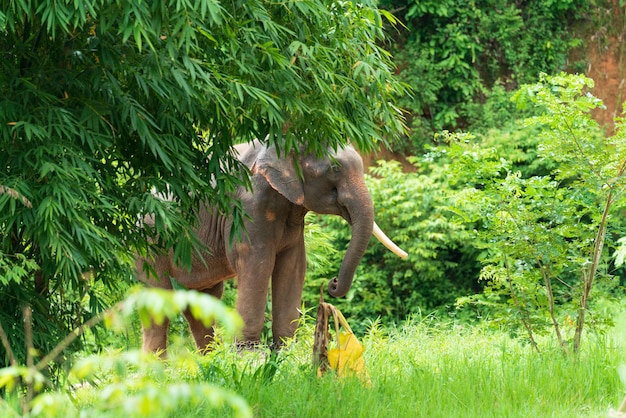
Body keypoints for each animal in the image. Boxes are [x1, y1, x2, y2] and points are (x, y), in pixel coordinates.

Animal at [136, 140, 404, 352]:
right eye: (335, 170)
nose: (333, 283)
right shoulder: (249, 206)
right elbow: (258, 264)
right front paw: (249, 354)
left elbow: (293, 266)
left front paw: (286, 350)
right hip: (150, 248)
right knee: (157, 301)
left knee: (203, 301)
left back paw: (210, 358)